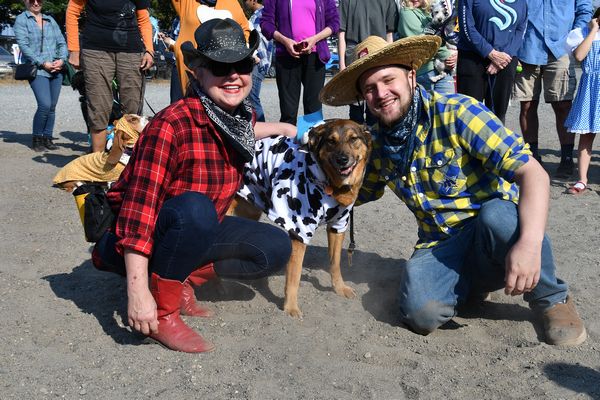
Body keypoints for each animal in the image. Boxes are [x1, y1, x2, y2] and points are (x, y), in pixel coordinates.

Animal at [229, 119, 370, 318]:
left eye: (353, 139)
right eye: (331, 141)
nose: (342, 159)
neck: (329, 183)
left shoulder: (338, 225)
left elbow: (335, 263)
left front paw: (339, 288)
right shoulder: (299, 231)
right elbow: (294, 276)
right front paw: (291, 307)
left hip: (249, 209)